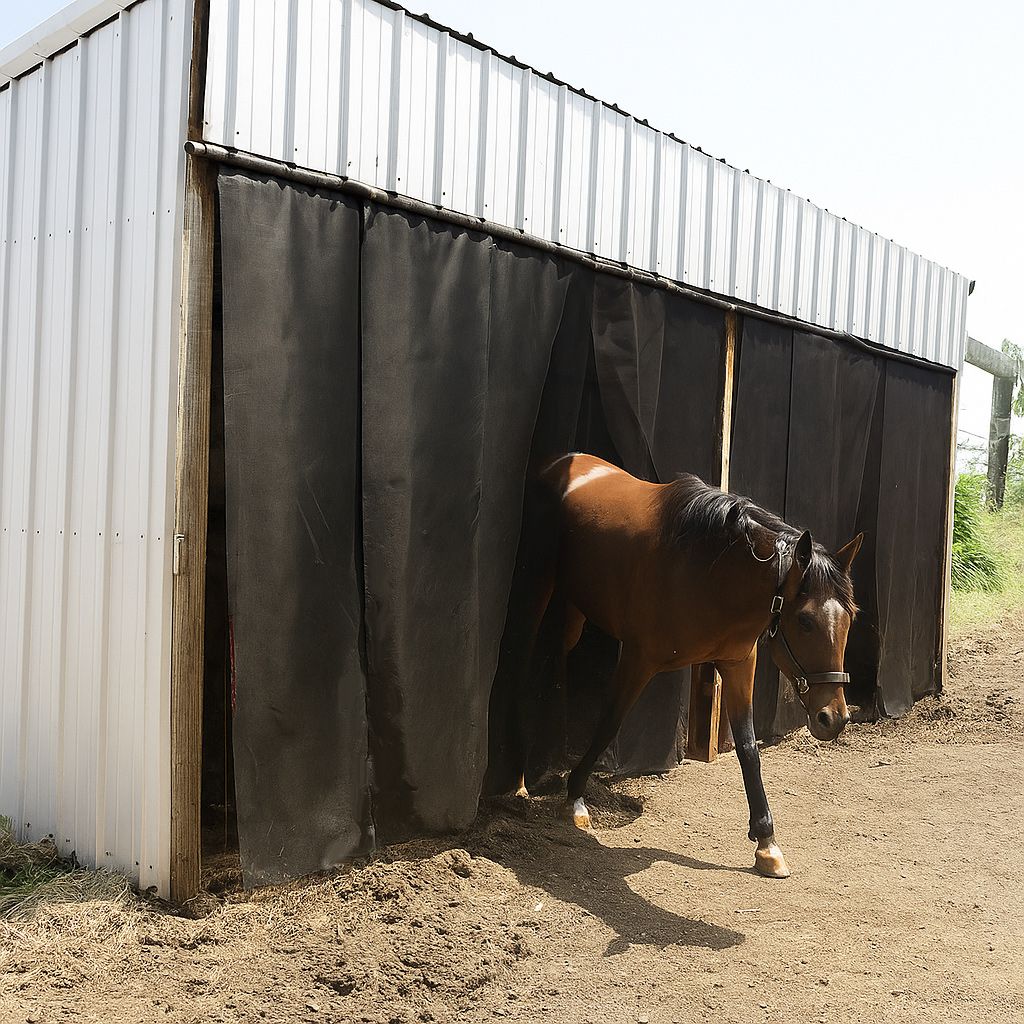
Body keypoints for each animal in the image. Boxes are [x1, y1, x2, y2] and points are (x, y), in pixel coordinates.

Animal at [511, 452, 863, 878]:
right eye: (806, 621)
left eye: (850, 618)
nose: (834, 718)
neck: (708, 570)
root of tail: (562, 462)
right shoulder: (637, 659)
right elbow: (610, 722)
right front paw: (575, 798)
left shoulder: (738, 663)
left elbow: (748, 747)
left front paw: (766, 843)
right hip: (540, 589)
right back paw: (520, 780)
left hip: (575, 607)